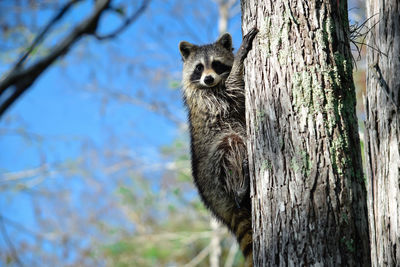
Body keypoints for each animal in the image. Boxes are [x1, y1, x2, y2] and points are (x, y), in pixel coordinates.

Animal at [179, 27, 260, 266]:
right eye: (199, 67)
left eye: (215, 64)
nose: (208, 78)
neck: (212, 85)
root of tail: (216, 204)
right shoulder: (208, 98)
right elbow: (231, 90)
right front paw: (240, 58)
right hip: (214, 170)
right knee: (230, 143)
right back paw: (240, 187)